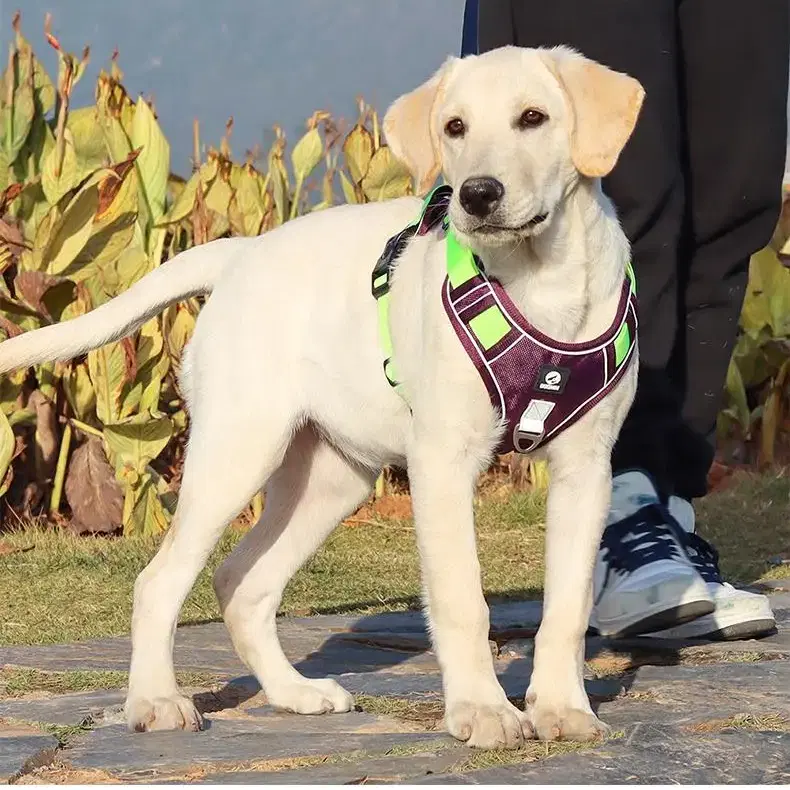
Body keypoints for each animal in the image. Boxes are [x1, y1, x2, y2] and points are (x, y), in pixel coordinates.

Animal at [0, 46, 644, 752]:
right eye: (454, 127)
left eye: (534, 118)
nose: (477, 194)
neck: (537, 281)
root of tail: (242, 252)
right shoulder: (444, 462)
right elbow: (462, 599)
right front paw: (482, 709)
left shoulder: (586, 469)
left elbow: (568, 605)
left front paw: (561, 707)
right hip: (237, 454)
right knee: (159, 581)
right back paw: (156, 700)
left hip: (330, 478)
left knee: (240, 582)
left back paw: (293, 694)